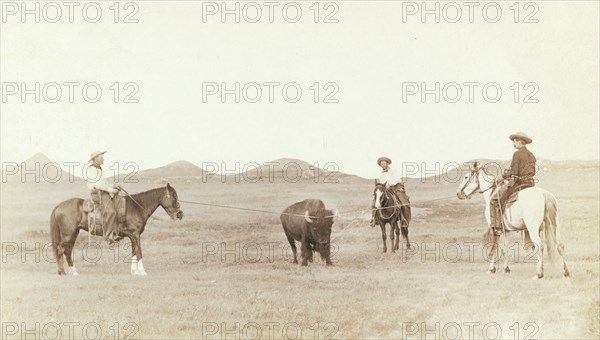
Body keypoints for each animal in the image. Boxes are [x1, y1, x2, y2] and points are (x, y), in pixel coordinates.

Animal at [49, 185, 183, 274]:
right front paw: (142, 272)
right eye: (173, 196)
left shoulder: (133, 236)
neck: (136, 207)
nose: (179, 214)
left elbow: (134, 251)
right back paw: (62, 272)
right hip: (68, 234)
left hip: (73, 233)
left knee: (67, 251)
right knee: (61, 249)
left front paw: (134, 271)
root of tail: (59, 206)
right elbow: (139, 252)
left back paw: (74, 272)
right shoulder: (135, 234)